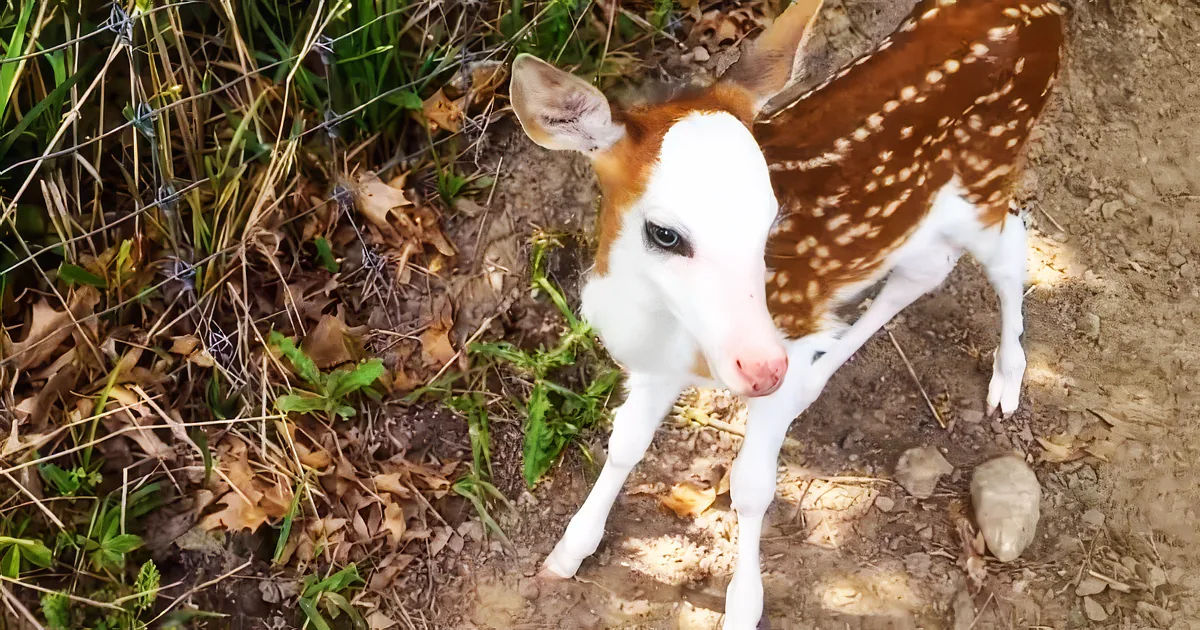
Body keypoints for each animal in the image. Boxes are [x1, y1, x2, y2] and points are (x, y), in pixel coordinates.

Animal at [508, 0, 1064, 626]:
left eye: (771, 216)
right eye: (665, 233)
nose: (761, 369)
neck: (668, 328)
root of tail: (1046, 13)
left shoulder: (786, 328)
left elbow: (752, 486)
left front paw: (744, 607)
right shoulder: (657, 366)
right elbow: (625, 442)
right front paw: (567, 552)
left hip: (984, 177)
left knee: (1012, 244)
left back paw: (1006, 381)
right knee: (927, 268)